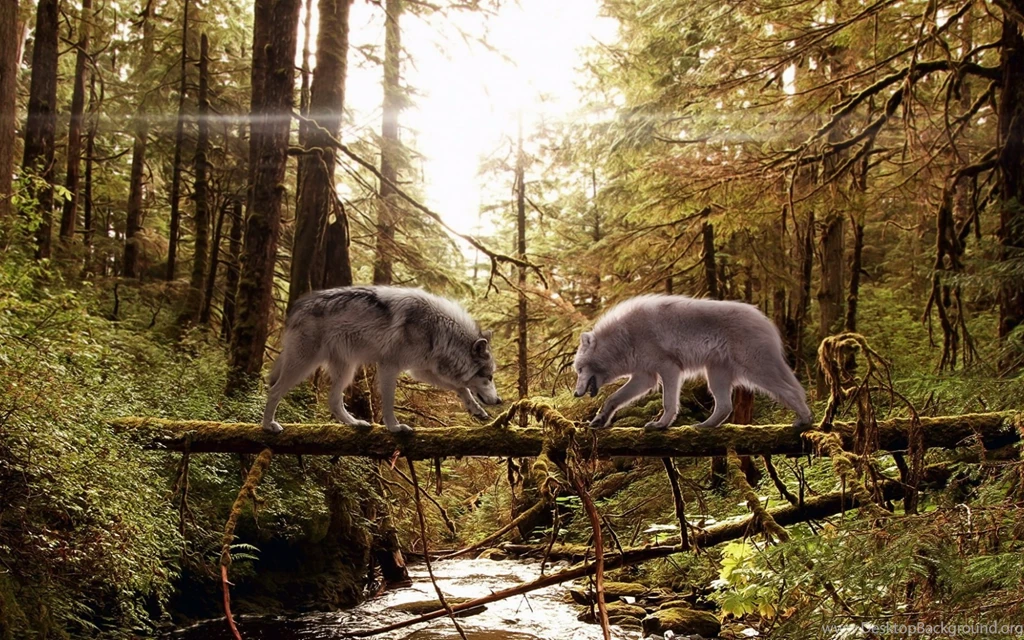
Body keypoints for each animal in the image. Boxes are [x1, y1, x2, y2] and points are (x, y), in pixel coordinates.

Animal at [261, 286, 503, 434]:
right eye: (490, 377)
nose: (499, 401)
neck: (438, 330)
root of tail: (296, 307)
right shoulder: (389, 366)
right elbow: (388, 403)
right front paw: (395, 428)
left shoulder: (422, 371)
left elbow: (461, 387)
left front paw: (476, 410)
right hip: (303, 366)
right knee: (273, 391)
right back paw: (267, 425)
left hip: (346, 370)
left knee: (334, 401)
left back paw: (355, 423)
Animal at [572, 295, 812, 430]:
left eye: (580, 369)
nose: (575, 393)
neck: (624, 338)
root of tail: (766, 321)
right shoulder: (645, 377)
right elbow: (612, 399)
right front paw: (600, 420)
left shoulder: (669, 369)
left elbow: (668, 403)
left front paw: (661, 425)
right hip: (716, 376)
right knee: (725, 406)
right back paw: (704, 426)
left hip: (757, 371)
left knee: (791, 391)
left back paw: (805, 419)